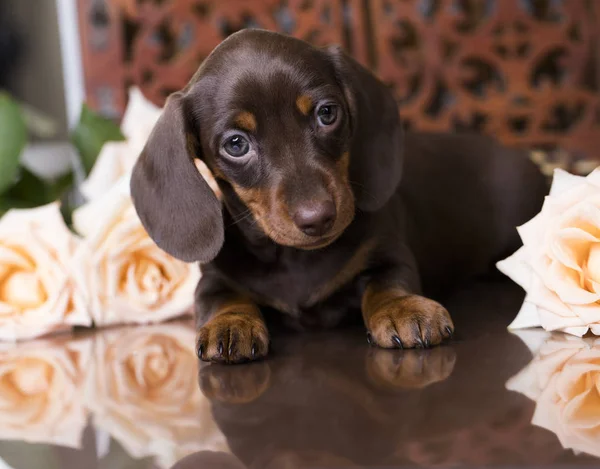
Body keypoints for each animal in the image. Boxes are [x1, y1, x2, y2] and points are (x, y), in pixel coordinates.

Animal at [131, 29, 548, 364]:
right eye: (236, 144)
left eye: (327, 113)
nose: (318, 217)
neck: (294, 260)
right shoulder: (215, 278)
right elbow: (219, 298)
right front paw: (231, 324)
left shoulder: (387, 252)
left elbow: (387, 282)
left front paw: (403, 309)